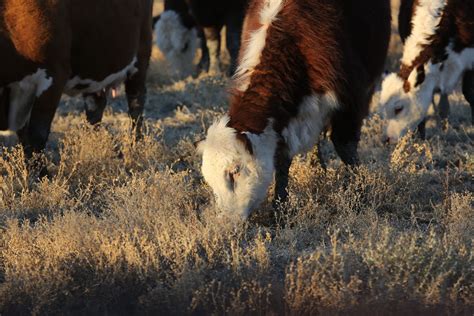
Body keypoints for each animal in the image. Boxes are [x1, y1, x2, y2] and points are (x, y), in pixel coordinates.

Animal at [0, 0, 152, 157]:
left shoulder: (54, 76)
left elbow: (37, 134)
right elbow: (24, 137)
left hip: (141, 55)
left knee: (136, 104)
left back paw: (135, 147)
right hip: (94, 69)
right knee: (95, 106)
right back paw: (93, 143)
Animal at [194, 0, 390, 220]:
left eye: (234, 171)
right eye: (209, 181)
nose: (227, 221)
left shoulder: (351, 101)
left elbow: (345, 147)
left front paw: (358, 193)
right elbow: (282, 160)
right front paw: (279, 208)